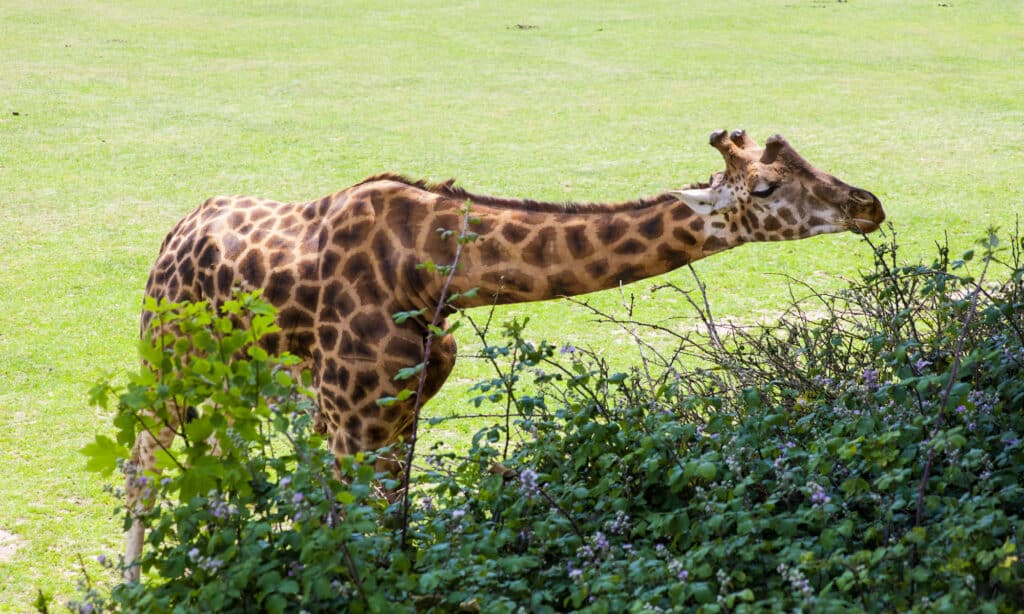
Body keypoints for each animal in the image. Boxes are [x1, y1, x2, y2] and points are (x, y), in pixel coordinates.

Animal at [125, 129, 880, 577]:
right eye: (767, 187)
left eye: (811, 162)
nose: (867, 204)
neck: (434, 269)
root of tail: (173, 234)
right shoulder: (351, 418)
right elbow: (352, 532)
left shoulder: (393, 412)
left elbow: (390, 526)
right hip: (166, 365)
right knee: (143, 469)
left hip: (241, 386)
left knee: (212, 470)